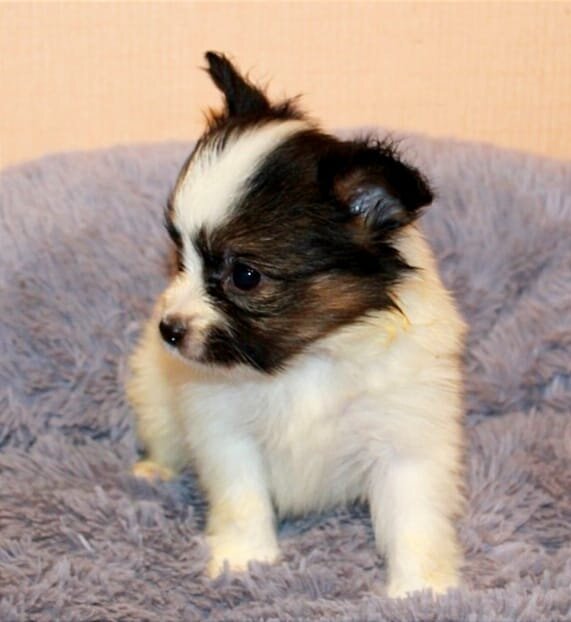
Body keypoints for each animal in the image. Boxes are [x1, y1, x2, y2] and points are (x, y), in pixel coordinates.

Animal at [127, 51, 466, 598]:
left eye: (245, 276)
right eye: (180, 259)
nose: (169, 330)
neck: (310, 357)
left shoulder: (406, 437)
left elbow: (415, 521)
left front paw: (421, 592)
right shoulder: (227, 434)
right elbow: (242, 501)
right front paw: (244, 561)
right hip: (154, 396)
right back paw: (154, 470)